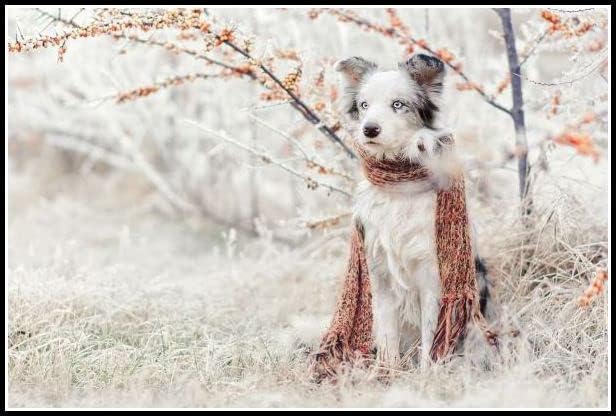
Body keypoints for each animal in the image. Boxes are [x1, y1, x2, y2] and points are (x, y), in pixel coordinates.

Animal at [334, 52, 488, 368]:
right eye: (364, 105)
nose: (370, 129)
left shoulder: (432, 274)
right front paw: (388, 369)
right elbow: (387, 331)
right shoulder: (379, 271)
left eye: (398, 104)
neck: (399, 183)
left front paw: (428, 371)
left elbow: (432, 333)